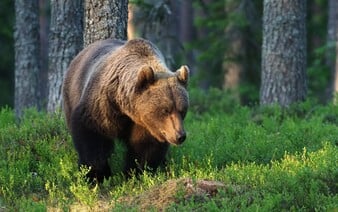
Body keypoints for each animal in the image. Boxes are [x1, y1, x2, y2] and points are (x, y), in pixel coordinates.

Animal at [62, 38, 189, 182]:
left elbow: (144, 148)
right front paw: (96, 175)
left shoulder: (146, 124)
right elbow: (92, 135)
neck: (126, 108)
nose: (180, 136)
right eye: (165, 110)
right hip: (71, 95)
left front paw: (135, 174)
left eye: (183, 110)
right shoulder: (102, 106)